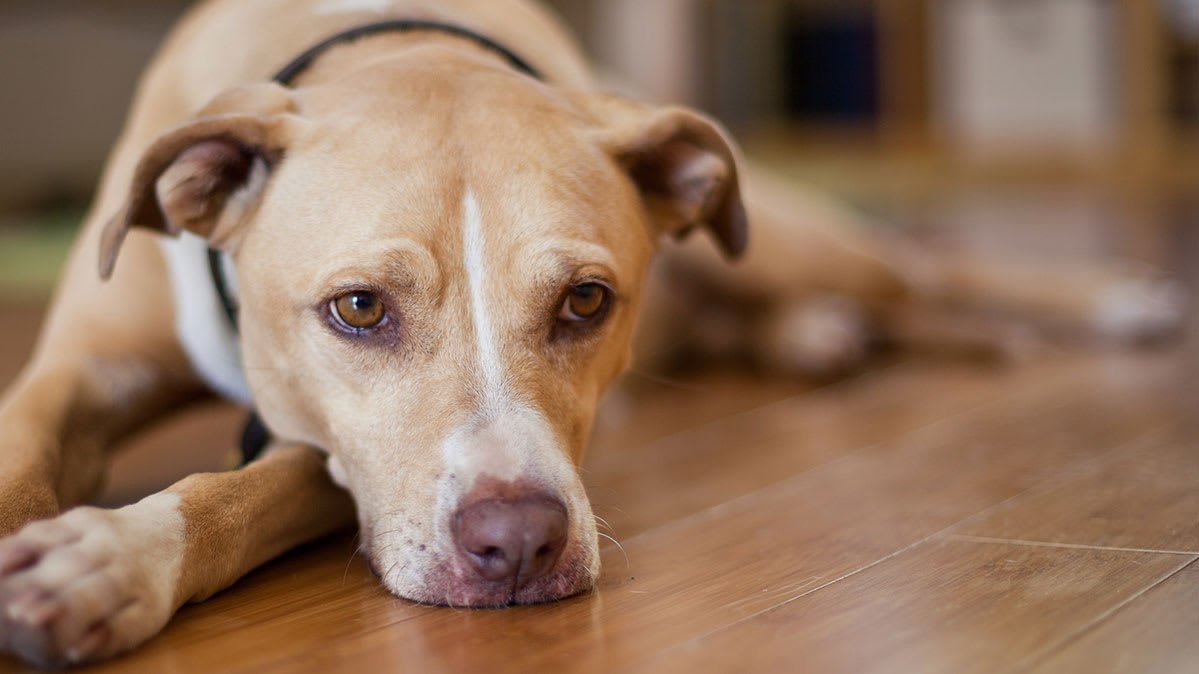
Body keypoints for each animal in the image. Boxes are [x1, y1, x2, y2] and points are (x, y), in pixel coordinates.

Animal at [0, 0, 1184, 666]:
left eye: (583, 300)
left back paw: (1118, 303)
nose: (517, 544)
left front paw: (104, 559)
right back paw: (819, 338)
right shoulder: (78, 372)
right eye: (358, 308)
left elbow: (235, 492)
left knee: (923, 267)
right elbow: (22, 451)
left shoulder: (326, 455)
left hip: (797, 238)